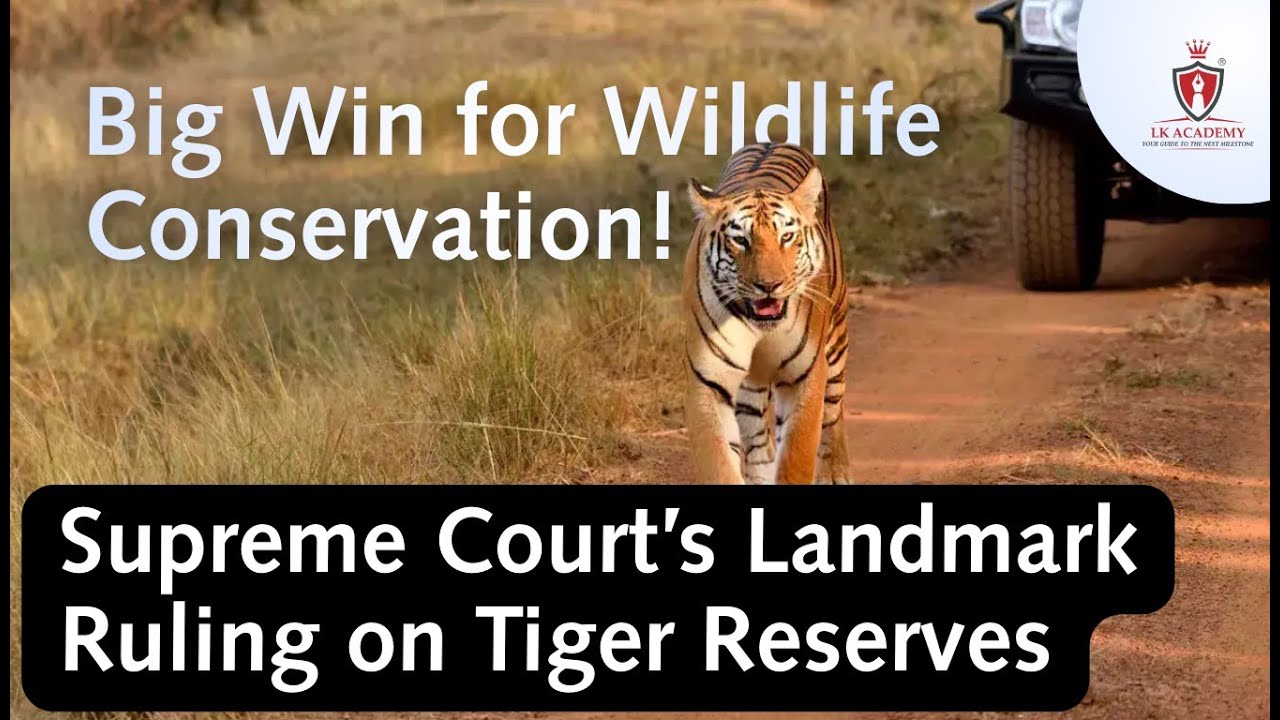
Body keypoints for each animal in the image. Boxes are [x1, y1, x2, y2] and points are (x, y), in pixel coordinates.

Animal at [682, 142, 851, 485]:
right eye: (740, 240)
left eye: (786, 237)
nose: (769, 285)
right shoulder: (708, 382)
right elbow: (719, 463)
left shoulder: (806, 375)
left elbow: (797, 456)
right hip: (750, 386)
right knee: (757, 437)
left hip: (836, 343)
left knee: (833, 413)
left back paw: (835, 472)